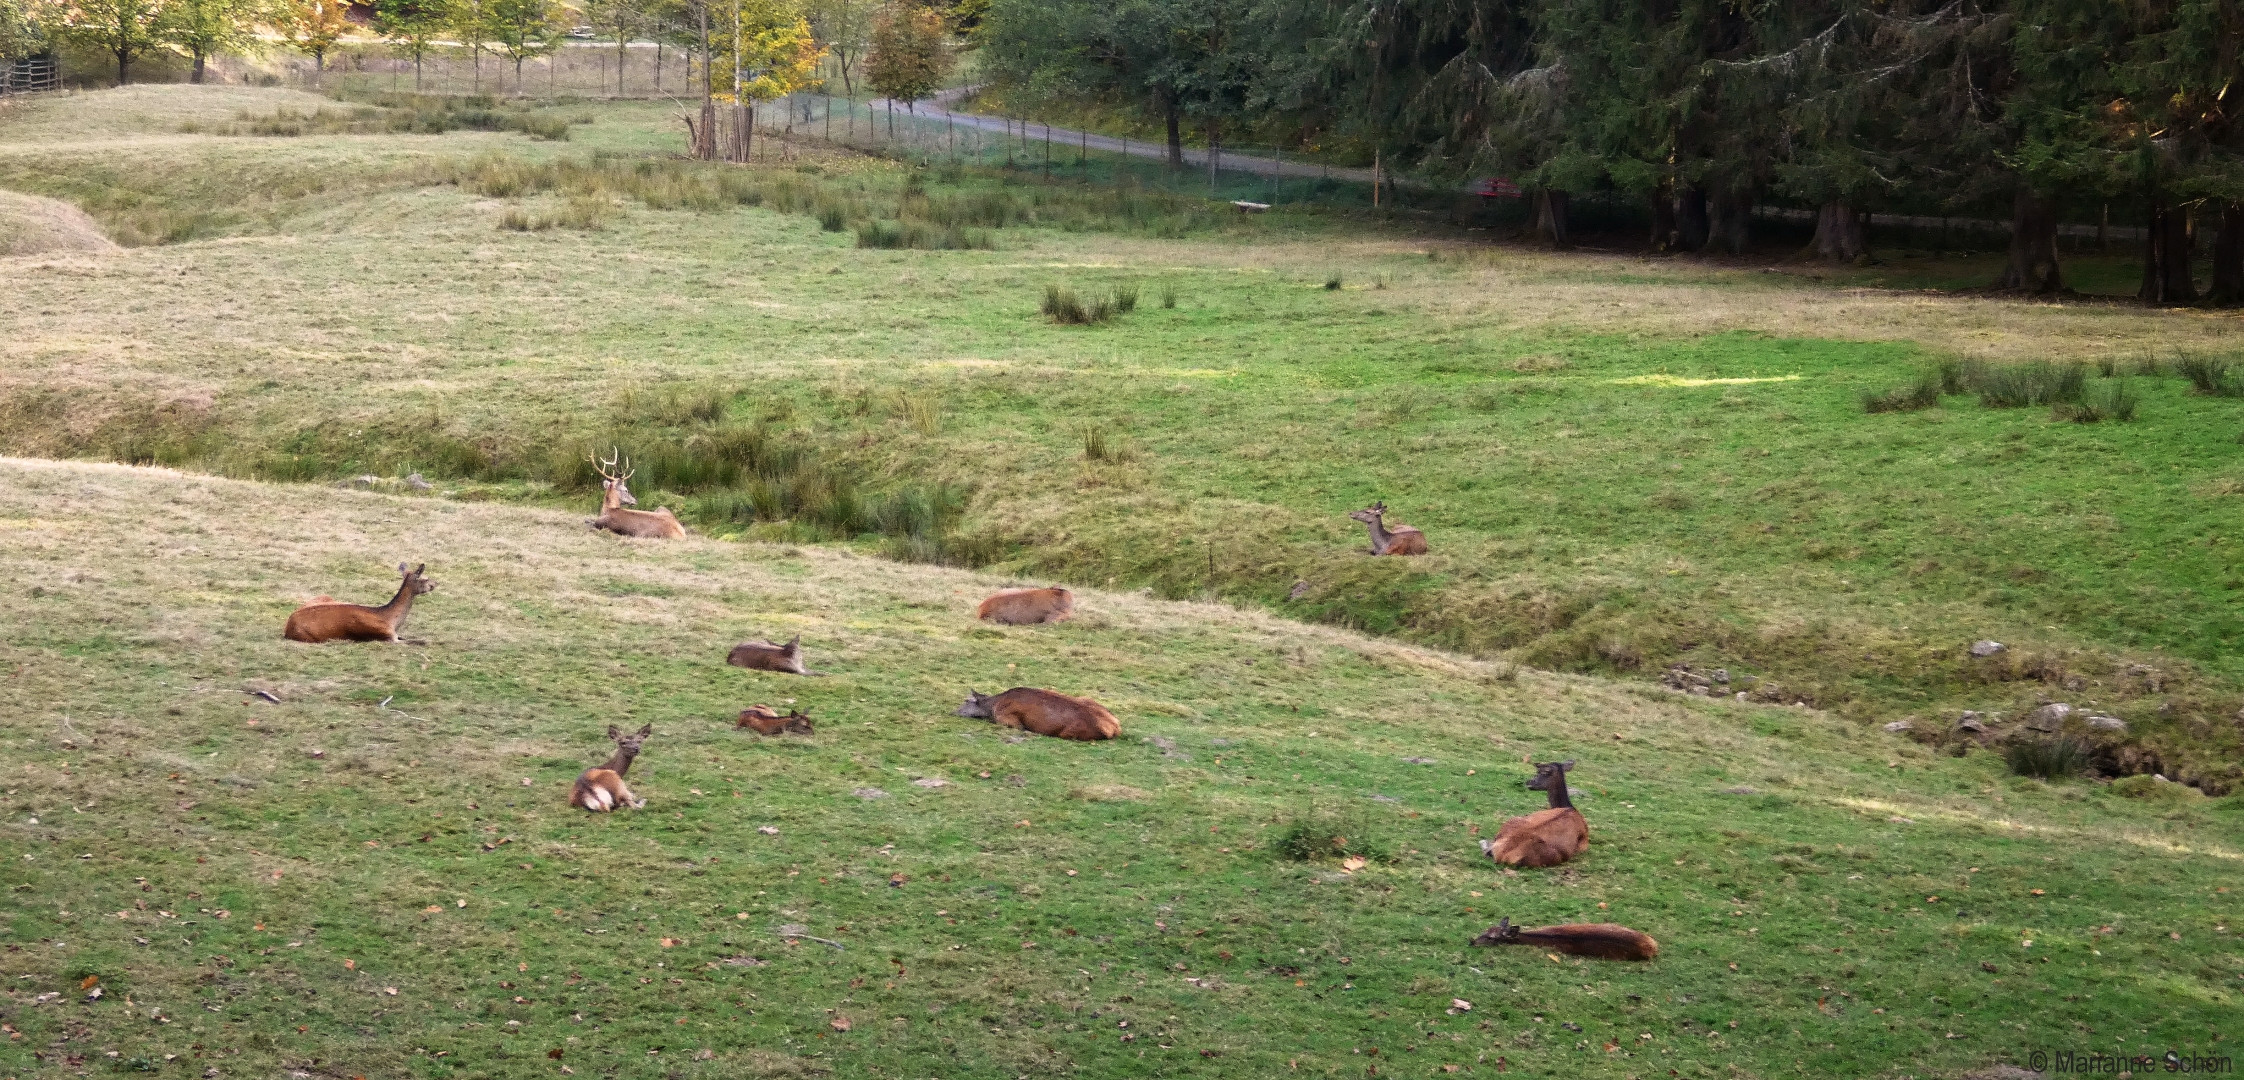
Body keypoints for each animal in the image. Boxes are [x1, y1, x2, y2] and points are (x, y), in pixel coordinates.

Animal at [282, 563, 435, 637]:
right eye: (424, 578)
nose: (436, 583)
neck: (391, 620)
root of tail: (288, 628)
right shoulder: (386, 635)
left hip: (325, 596)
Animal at [951, 687, 1117, 736]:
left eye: (966, 701)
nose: (952, 712)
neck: (993, 706)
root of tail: (1115, 727)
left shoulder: (1008, 719)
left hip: (1067, 733)